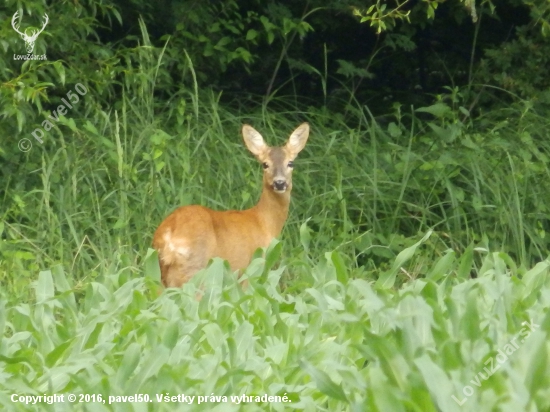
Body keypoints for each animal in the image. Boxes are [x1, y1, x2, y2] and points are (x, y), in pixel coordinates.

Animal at [153, 122, 312, 286]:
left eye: (290, 163)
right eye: (265, 164)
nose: (279, 183)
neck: (264, 223)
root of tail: (168, 239)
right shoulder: (251, 268)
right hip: (195, 269)